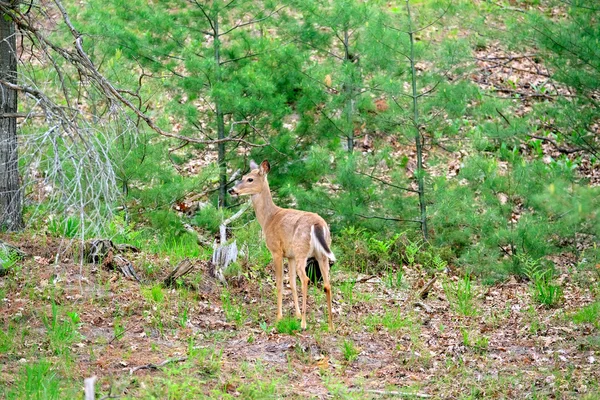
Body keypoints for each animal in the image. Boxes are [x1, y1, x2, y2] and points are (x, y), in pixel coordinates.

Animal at [227, 160, 336, 332]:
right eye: (242, 177)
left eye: (250, 179)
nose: (232, 190)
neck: (268, 219)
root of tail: (318, 225)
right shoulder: (290, 255)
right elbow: (291, 283)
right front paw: (296, 315)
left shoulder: (276, 250)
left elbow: (279, 283)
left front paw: (279, 317)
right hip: (321, 254)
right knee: (327, 284)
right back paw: (330, 326)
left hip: (301, 250)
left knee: (305, 279)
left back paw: (304, 324)